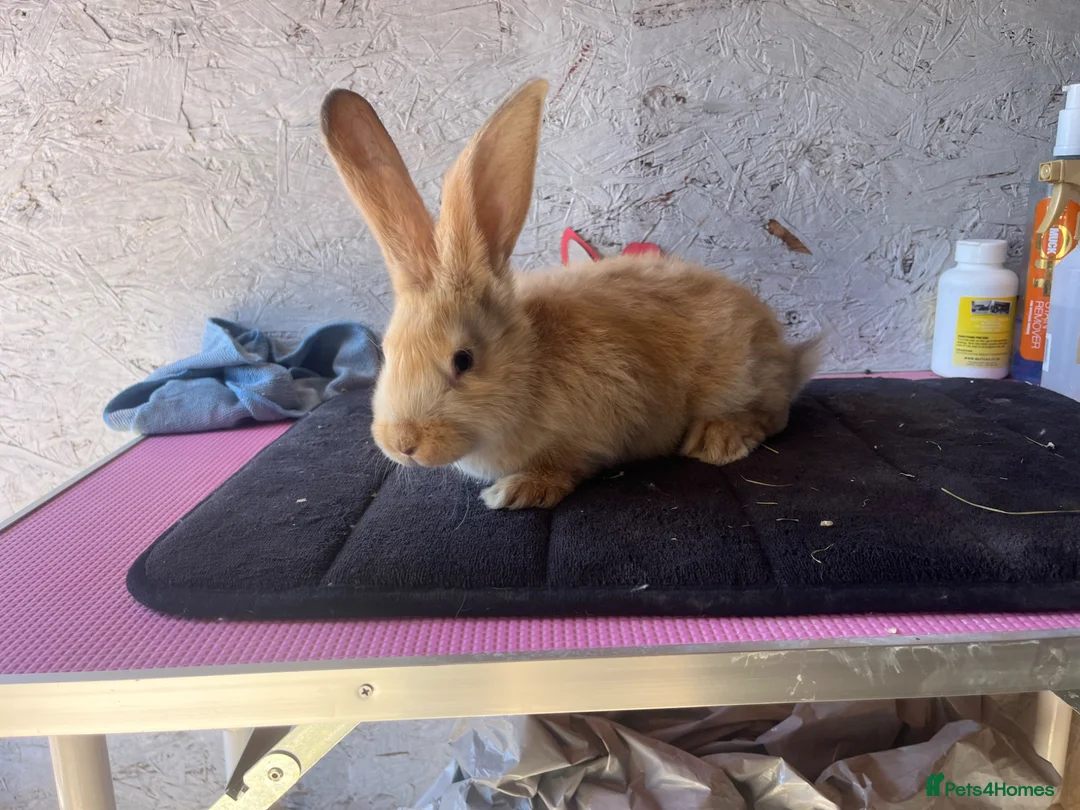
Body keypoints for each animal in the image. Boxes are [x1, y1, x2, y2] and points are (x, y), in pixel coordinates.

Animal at [320, 78, 822, 510]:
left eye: (463, 360)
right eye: (386, 353)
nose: (403, 444)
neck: (531, 363)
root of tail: (788, 355)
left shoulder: (595, 428)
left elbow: (565, 465)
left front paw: (516, 491)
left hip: (739, 379)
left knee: (772, 415)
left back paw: (715, 441)